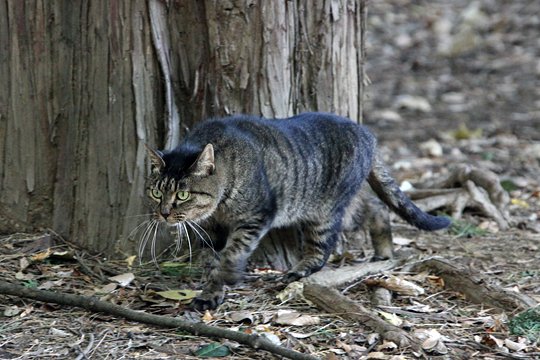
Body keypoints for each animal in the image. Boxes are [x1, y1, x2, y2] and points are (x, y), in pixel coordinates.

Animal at [144, 112, 452, 310]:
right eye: (156, 192)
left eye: (182, 195)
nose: (163, 213)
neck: (219, 207)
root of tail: (366, 133)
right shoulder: (210, 231)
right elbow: (210, 262)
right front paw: (211, 292)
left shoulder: (257, 216)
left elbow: (233, 253)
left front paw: (228, 275)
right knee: (376, 207)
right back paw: (384, 249)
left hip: (326, 211)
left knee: (324, 247)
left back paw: (300, 269)